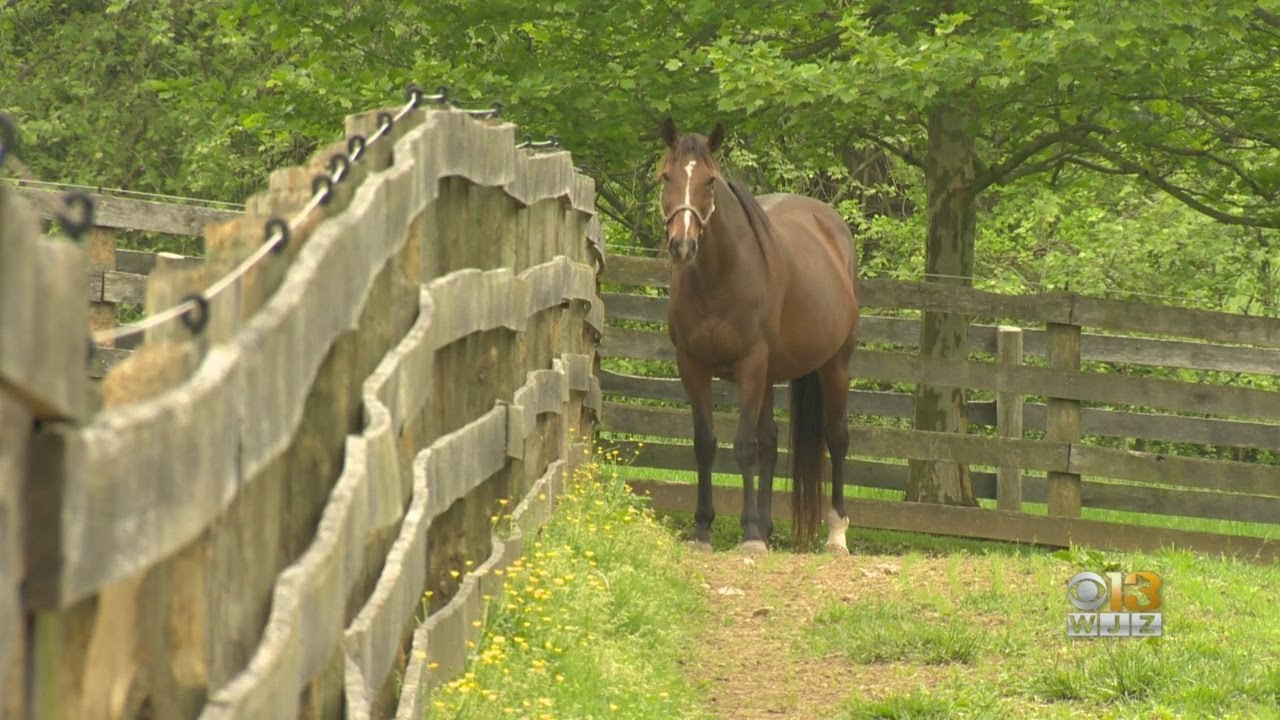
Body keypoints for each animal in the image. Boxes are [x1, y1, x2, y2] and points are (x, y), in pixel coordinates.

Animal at [660, 117, 860, 550]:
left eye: (710, 181)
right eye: (665, 176)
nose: (682, 245)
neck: (719, 277)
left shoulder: (750, 364)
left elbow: (744, 446)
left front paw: (749, 532)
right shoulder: (691, 365)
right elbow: (706, 445)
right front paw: (703, 528)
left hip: (835, 365)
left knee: (836, 438)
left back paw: (836, 533)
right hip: (771, 375)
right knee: (770, 441)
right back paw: (768, 526)